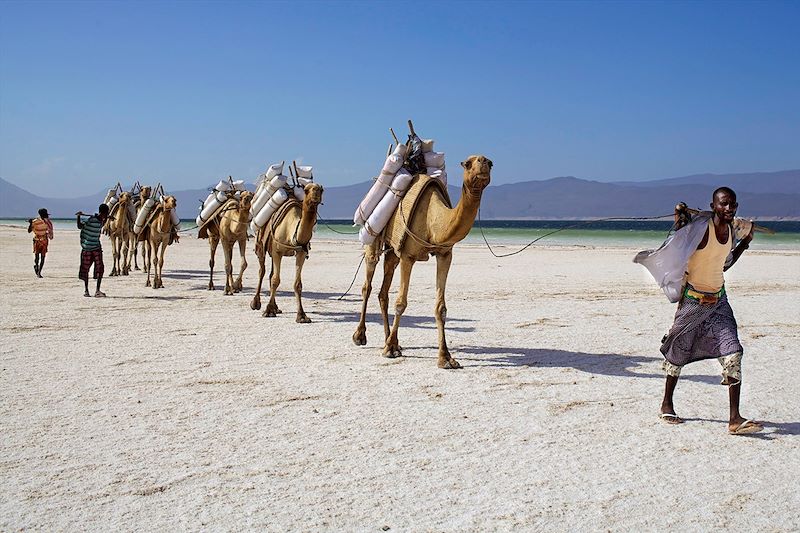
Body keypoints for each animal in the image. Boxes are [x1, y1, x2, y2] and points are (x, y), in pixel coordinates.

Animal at [252, 183, 324, 322]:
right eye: (306, 190)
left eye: (322, 189)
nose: (316, 192)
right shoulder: (277, 251)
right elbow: (275, 280)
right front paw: (268, 311)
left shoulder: (301, 253)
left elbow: (297, 284)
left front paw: (301, 316)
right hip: (261, 246)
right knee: (262, 271)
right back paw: (256, 303)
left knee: (270, 274)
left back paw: (276, 307)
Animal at [354, 155, 490, 366]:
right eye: (468, 163)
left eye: (491, 163)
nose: (484, 162)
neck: (432, 221)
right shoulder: (408, 256)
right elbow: (401, 303)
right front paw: (390, 349)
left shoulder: (445, 255)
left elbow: (441, 308)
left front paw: (446, 358)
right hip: (373, 239)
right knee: (367, 285)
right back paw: (361, 336)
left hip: (393, 252)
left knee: (383, 291)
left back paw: (389, 340)